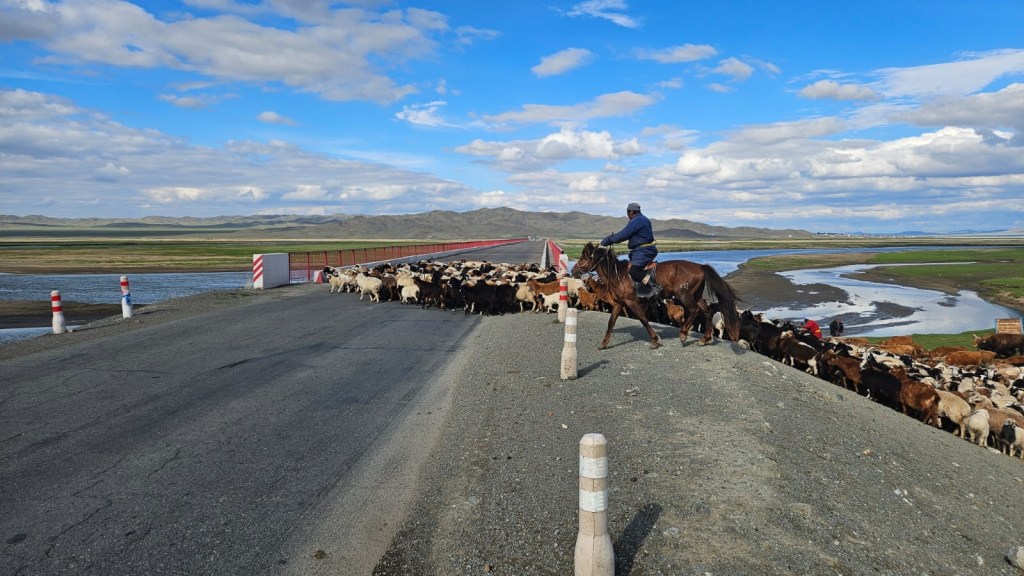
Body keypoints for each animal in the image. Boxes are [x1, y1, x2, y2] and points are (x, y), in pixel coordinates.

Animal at [571, 242, 741, 349]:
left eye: (584, 257)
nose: (573, 270)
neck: (617, 275)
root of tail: (700, 267)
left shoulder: (631, 302)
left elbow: (643, 319)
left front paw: (654, 340)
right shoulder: (619, 303)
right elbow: (611, 322)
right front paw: (603, 344)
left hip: (684, 296)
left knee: (694, 311)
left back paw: (683, 334)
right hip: (696, 296)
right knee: (706, 311)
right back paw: (705, 339)